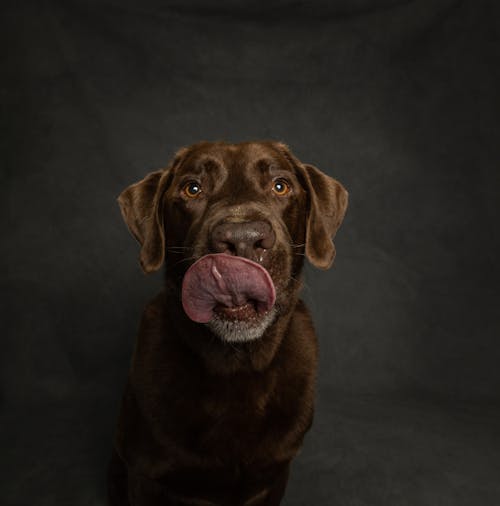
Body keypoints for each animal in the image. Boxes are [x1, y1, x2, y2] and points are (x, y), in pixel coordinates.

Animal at [107, 140, 346, 504]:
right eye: (192, 188)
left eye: (280, 186)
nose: (242, 238)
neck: (236, 362)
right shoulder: (146, 475)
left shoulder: (272, 477)